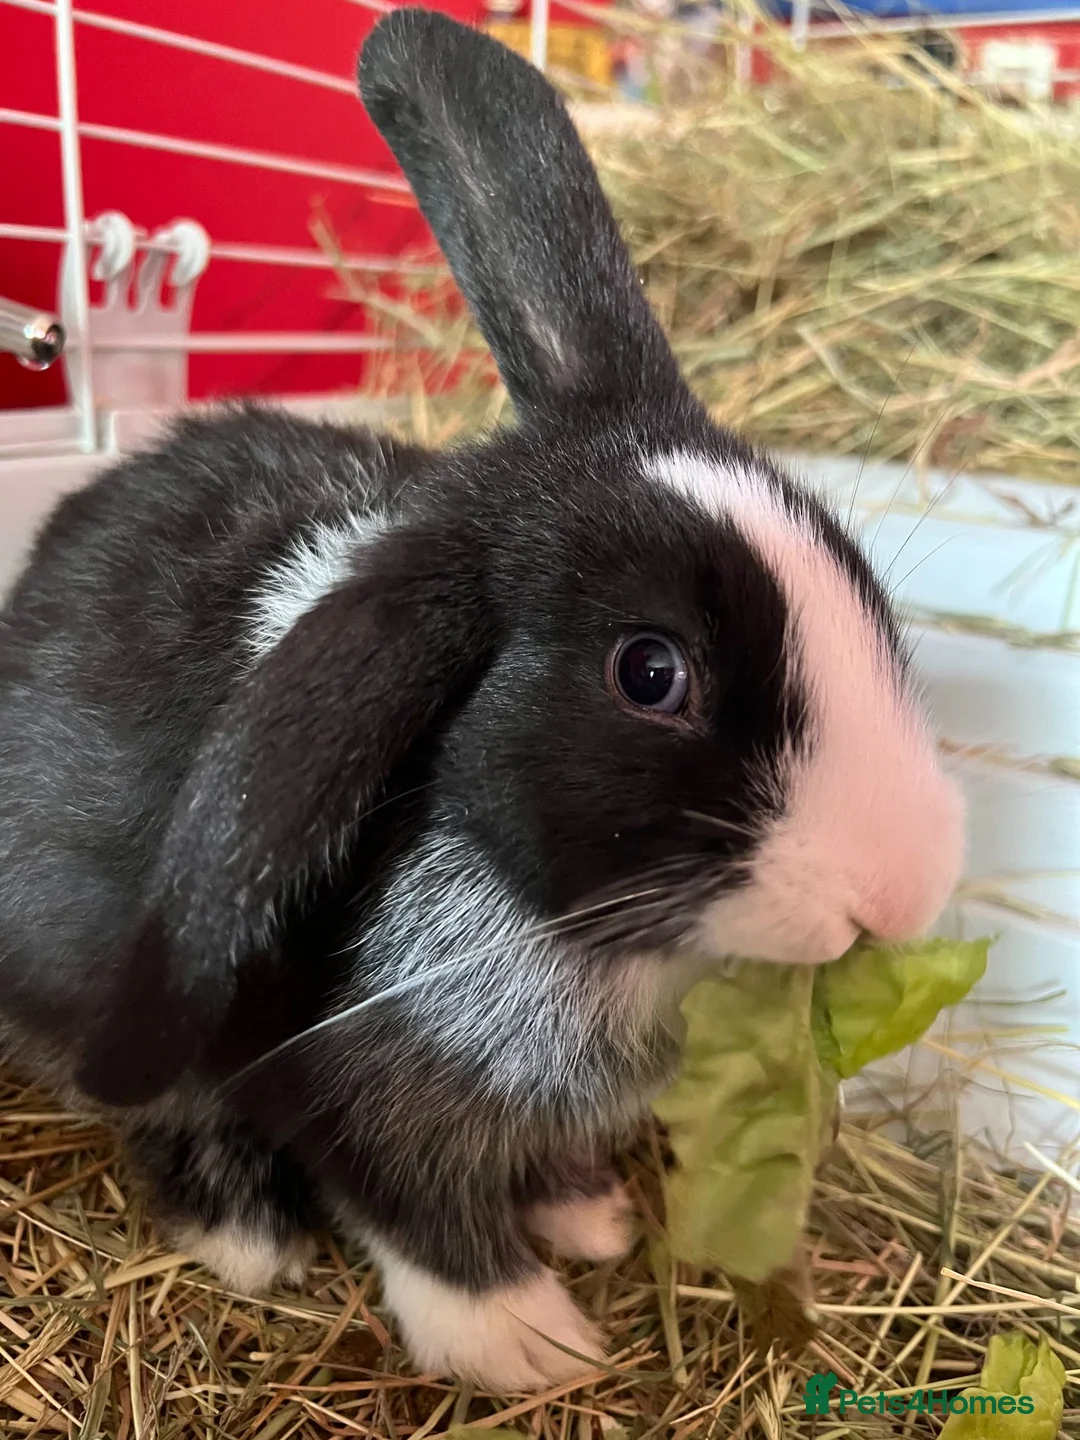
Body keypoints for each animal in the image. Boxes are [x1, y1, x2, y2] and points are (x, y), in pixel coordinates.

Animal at [0, 7, 965, 1395]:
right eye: (649, 673)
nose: (900, 894)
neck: (591, 944)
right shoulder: (350, 1086)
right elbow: (415, 1209)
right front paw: (528, 1339)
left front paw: (588, 1217)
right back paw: (246, 1236)